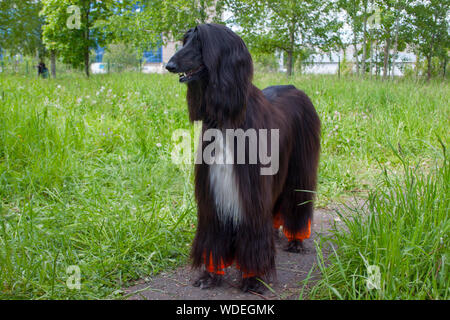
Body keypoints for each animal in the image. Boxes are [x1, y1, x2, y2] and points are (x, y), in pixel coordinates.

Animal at [166, 23, 320, 292]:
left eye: (201, 43)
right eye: (186, 40)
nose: (169, 65)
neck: (227, 120)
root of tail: (295, 88)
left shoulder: (252, 191)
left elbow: (254, 232)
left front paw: (253, 278)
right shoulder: (213, 192)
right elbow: (214, 234)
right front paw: (210, 274)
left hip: (299, 166)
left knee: (297, 200)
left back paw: (296, 240)